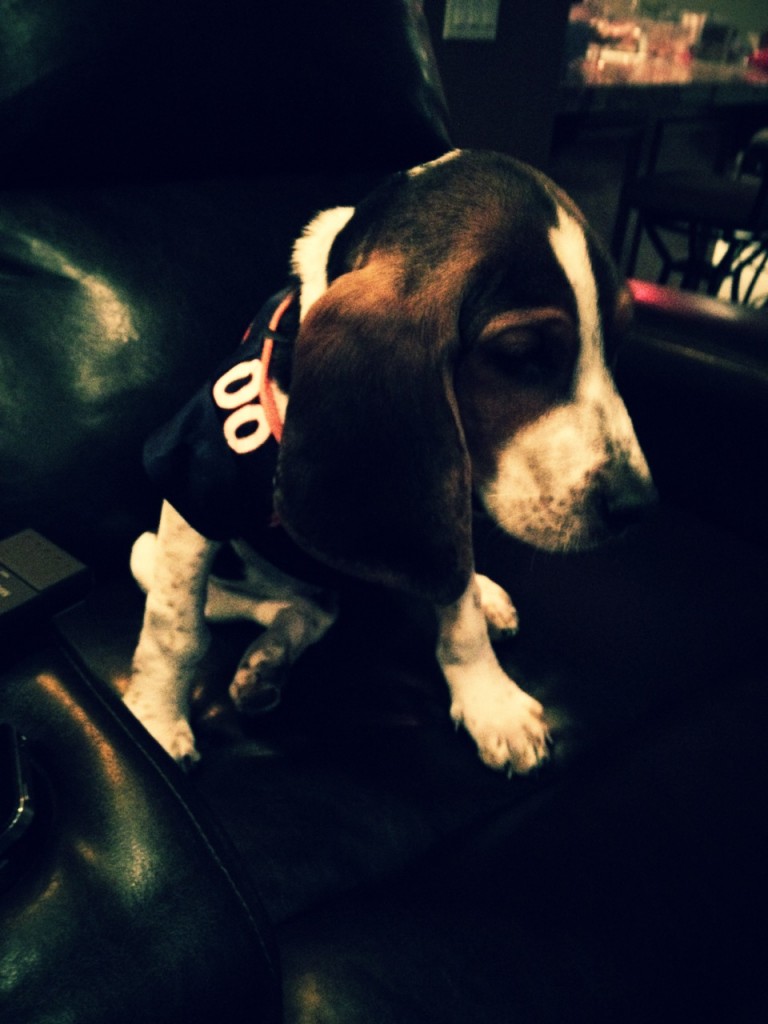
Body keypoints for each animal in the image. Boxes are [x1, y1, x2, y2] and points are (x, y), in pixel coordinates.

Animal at [124, 149, 655, 774]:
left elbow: (458, 611)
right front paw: (155, 721)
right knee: (279, 604)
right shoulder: (195, 488)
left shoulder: (443, 494)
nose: (638, 507)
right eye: (522, 355)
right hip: (147, 553)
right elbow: (175, 628)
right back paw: (266, 659)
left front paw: (491, 701)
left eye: (618, 342)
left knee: (331, 604)